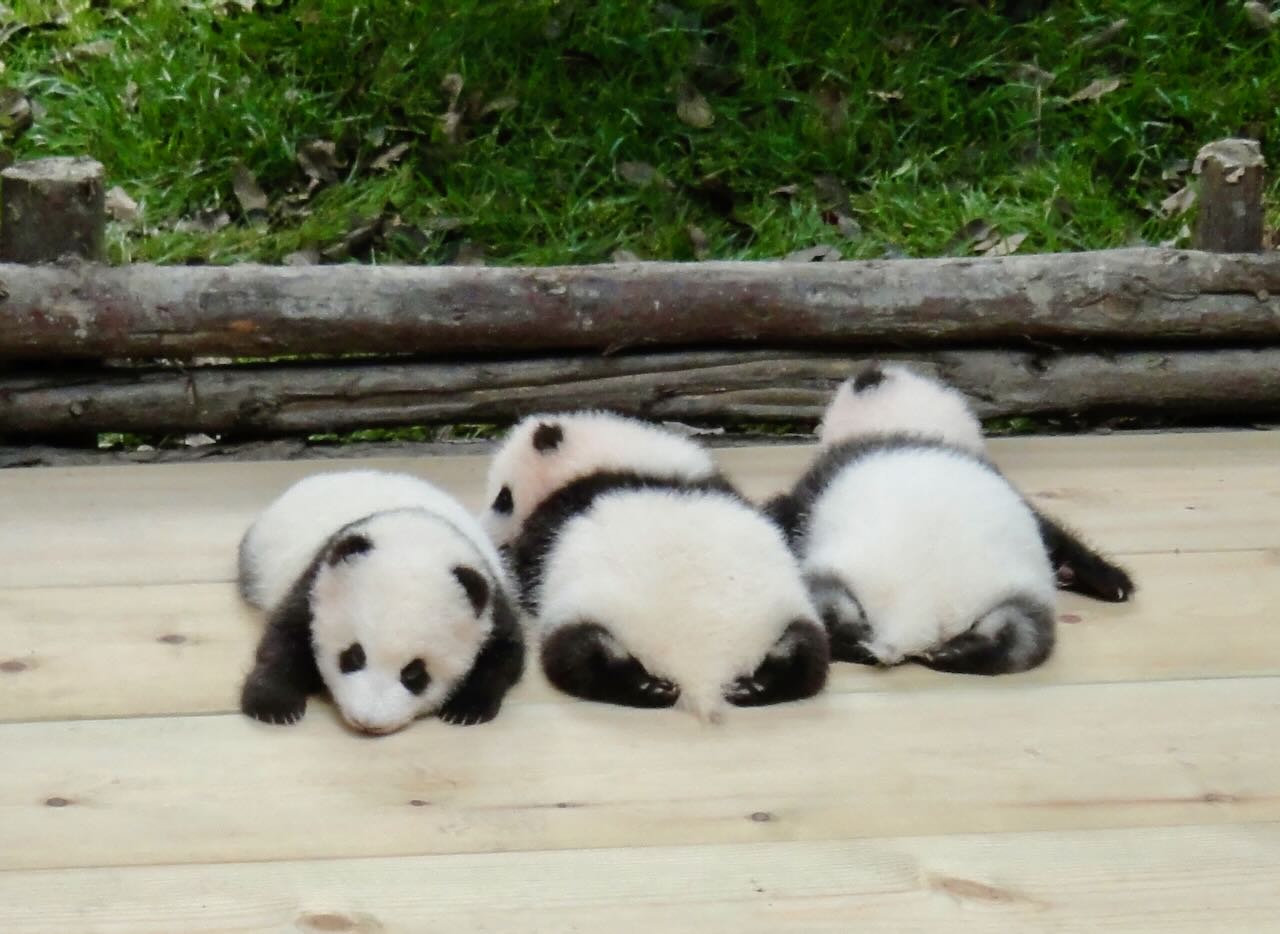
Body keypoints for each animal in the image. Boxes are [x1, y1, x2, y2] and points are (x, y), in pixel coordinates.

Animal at [237, 470, 524, 734]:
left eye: (414, 673)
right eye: (354, 655)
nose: (368, 722)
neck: (416, 537)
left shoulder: (490, 600)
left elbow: (506, 655)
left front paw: (466, 709)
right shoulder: (317, 581)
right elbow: (285, 637)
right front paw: (273, 705)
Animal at [484, 411, 829, 720]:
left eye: (503, 498)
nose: (491, 535)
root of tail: (703, 675)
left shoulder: (555, 517)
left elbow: (529, 567)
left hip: (584, 616)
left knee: (577, 656)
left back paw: (643, 686)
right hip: (791, 618)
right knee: (807, 655)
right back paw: (756, 686)